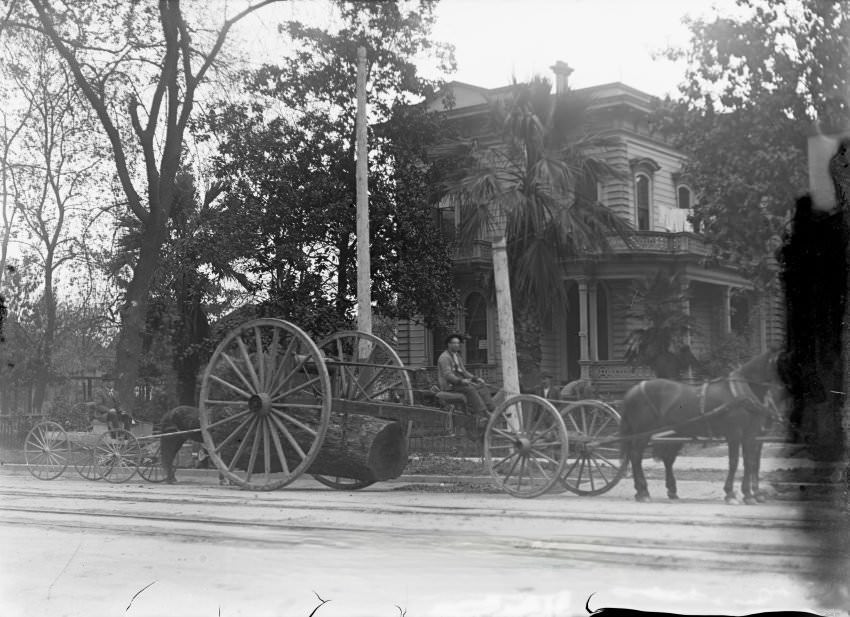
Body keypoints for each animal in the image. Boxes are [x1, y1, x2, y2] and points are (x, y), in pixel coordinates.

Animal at [616, 348, 788, 502]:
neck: (742, 393)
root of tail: (632, 390)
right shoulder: (734, 434)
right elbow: (734, 462)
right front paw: (731, 494)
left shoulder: (752, 435)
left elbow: (751, 462)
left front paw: (750, 495)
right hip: (643, 432)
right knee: (636, 456)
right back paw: (643, 492)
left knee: (663, 458)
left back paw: (658, 491)